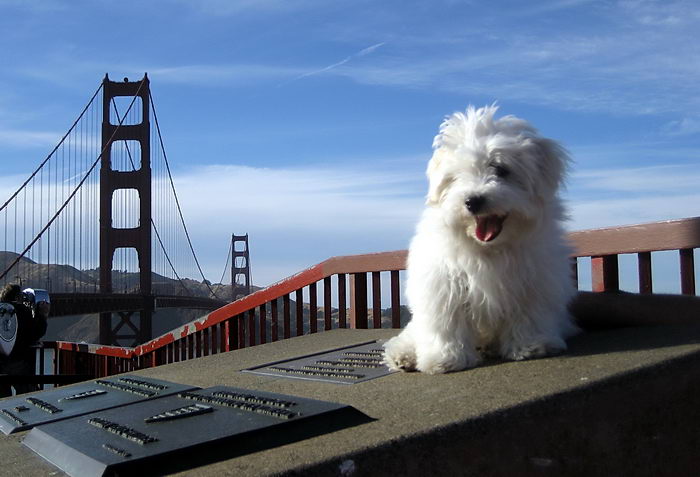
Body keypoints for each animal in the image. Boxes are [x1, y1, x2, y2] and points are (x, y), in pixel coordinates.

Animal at [386, 106, 576, 374]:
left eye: (501, 169)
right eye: (455, 177)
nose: (473, 200)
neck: (489, 248)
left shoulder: (535, 282)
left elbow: (530, 314)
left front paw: (532, 345)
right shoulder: (444, 286)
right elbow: (447, 323)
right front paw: (445, 359)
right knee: (412, 334)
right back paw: (402, 355)